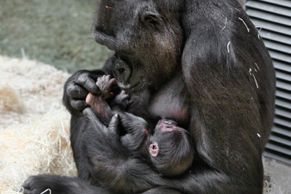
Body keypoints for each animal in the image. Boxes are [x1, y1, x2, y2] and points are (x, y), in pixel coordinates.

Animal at [23, 0, 276, 194]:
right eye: (107, 47)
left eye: (122, 48)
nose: (118, 67)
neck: (184, 22)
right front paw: (77, 84)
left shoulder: (210, 56)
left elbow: (233, 179)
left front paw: (111, 158)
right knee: (82, 113)